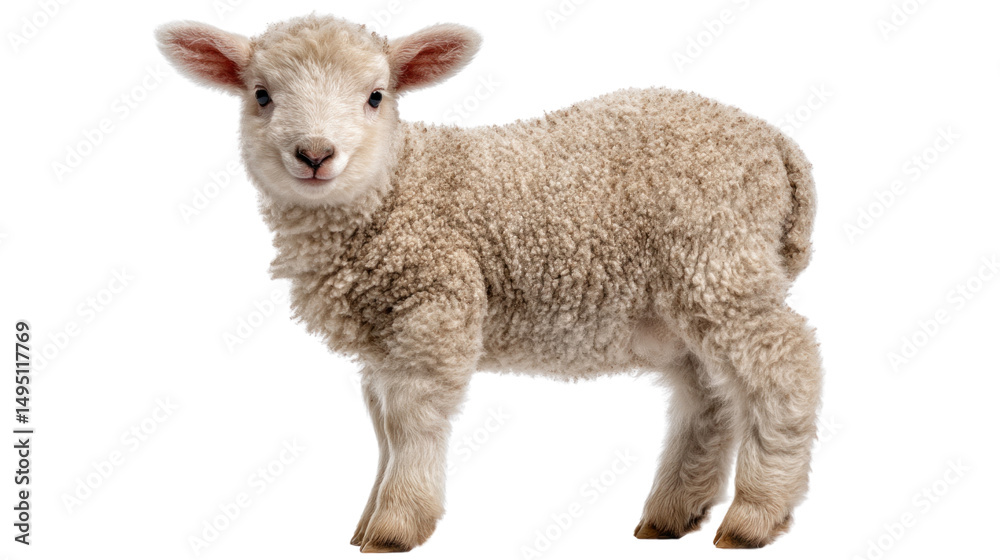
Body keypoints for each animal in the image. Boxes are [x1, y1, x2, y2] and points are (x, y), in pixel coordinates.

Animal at [156, 14, 821, 552]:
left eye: (375, 97)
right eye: (261, 96)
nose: (315, 154)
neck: (396, 188)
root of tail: (776, 143)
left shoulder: (436, 305)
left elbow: (411, 421)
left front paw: (395, 526)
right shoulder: (383, 336)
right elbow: (381, 428)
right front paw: (366, 520)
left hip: (718, 258)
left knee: (787, 364)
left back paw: (755, 516)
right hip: (681, 298)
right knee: (707, 395)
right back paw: (672, 512)